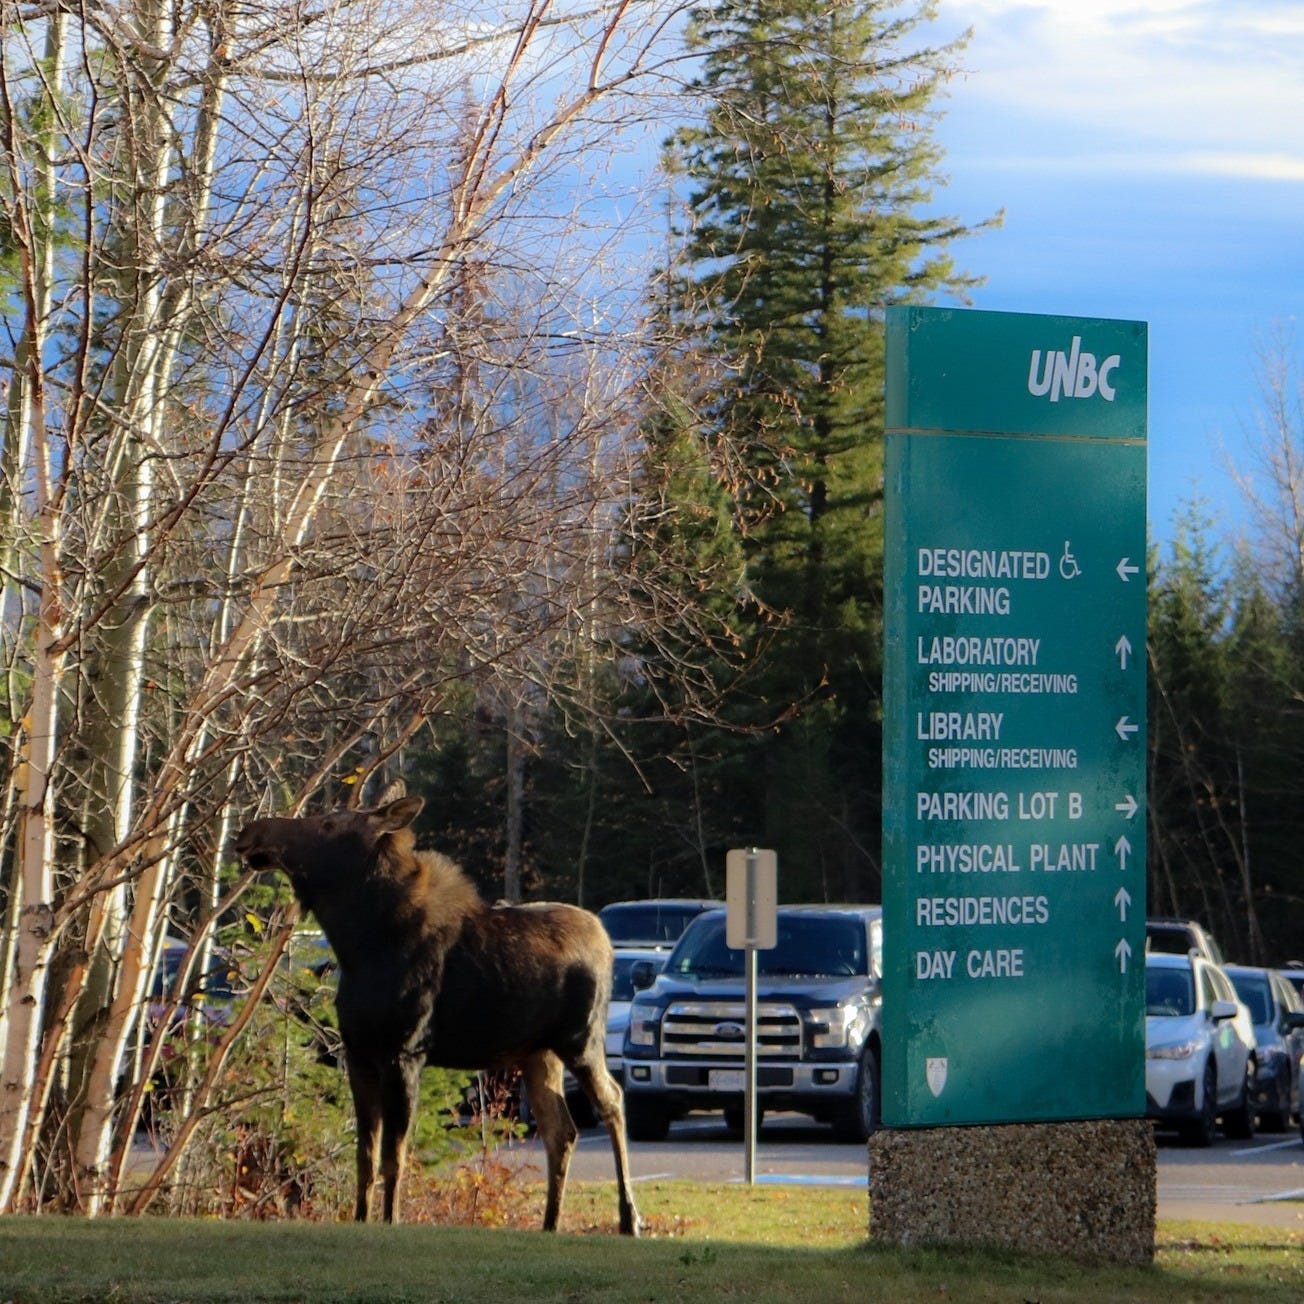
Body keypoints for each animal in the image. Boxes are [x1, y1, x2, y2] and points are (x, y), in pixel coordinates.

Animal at [237, 792, 644, 1230]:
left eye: (329, 824)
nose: (251, 831)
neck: (360, 945)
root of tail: (607, 943)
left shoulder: (404, 1053)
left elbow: (393, 1158)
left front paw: (390, 1221)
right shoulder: (359, 1054)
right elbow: (365, 1158)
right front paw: (361, 1220)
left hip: (581, 1041)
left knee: (613, 1101)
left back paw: (629, 1218)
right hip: (538, 1053)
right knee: (561, 1131)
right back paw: (550, 1223)